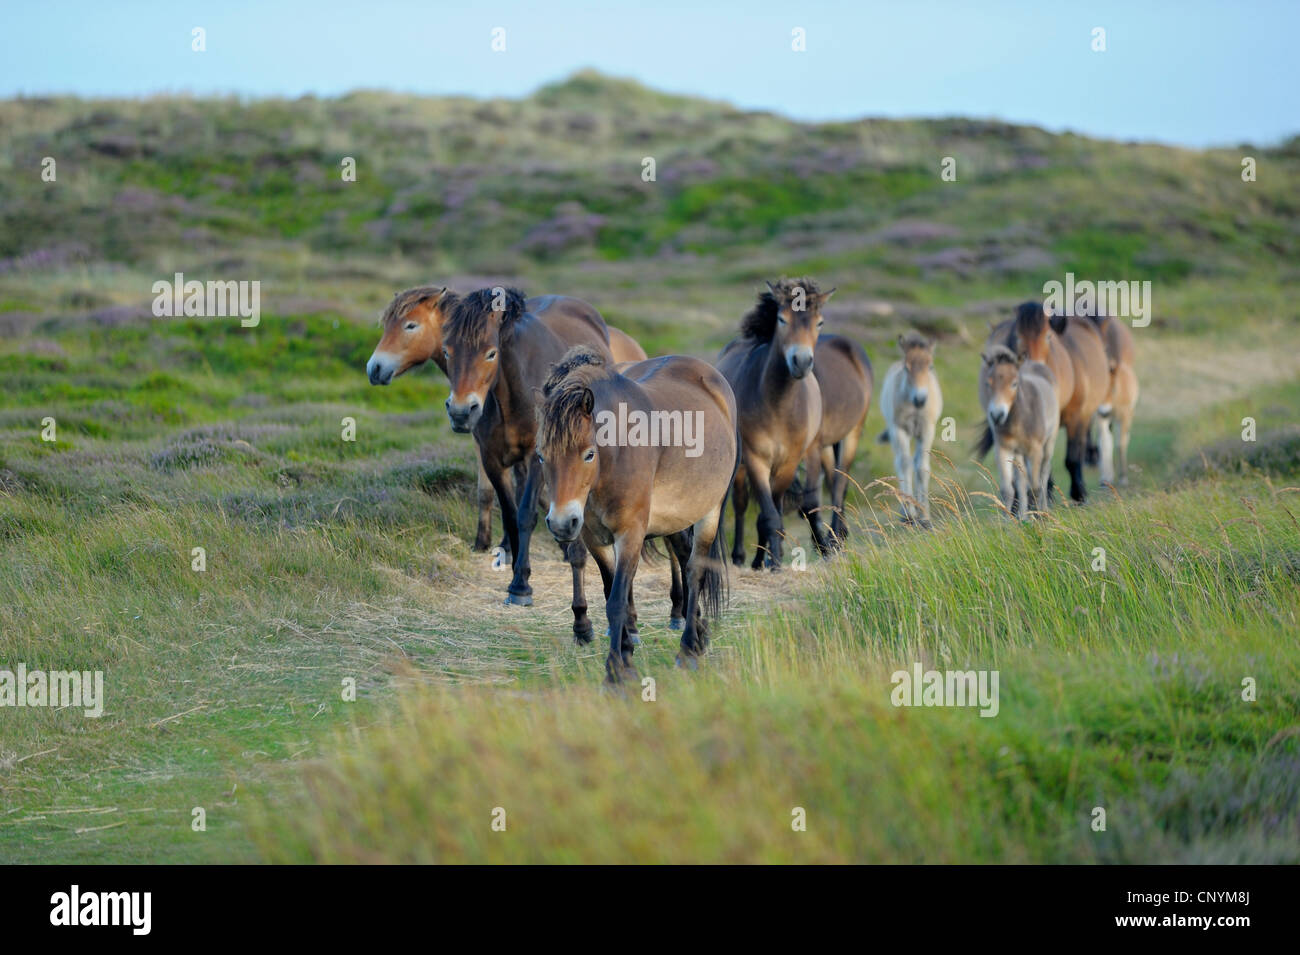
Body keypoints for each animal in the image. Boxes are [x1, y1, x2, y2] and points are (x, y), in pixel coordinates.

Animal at [538, 343, 743, 680]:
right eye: (542, 456)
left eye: (589, 454)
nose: (561, 523)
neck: (614, 457)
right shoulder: (595, 538)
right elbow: (611, 593)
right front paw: (625, 655)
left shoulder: (630, 533)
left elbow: (618, 601)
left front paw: (616, 673)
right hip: (675, 518)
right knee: (684, 558)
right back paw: (699, 634)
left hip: (709, 512)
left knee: (695, 571)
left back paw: (688, 650)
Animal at [722, 280, 832, 571]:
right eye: (782, 319)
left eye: (819, 323)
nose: (801, 361)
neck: (778, 404)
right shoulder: (755, 460)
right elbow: (768, 514)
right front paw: (770, 562)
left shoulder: (789, 461)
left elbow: (774, 511)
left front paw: (773, 559)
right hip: (740, 467)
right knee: (740, 504)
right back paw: (740, 557)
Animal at [982, 302, 1107, 504]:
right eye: (1017, 336)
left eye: (1048, 337)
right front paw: (1045, 496)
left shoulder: (1075, 418)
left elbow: (1072, 458)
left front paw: (1079, 494)